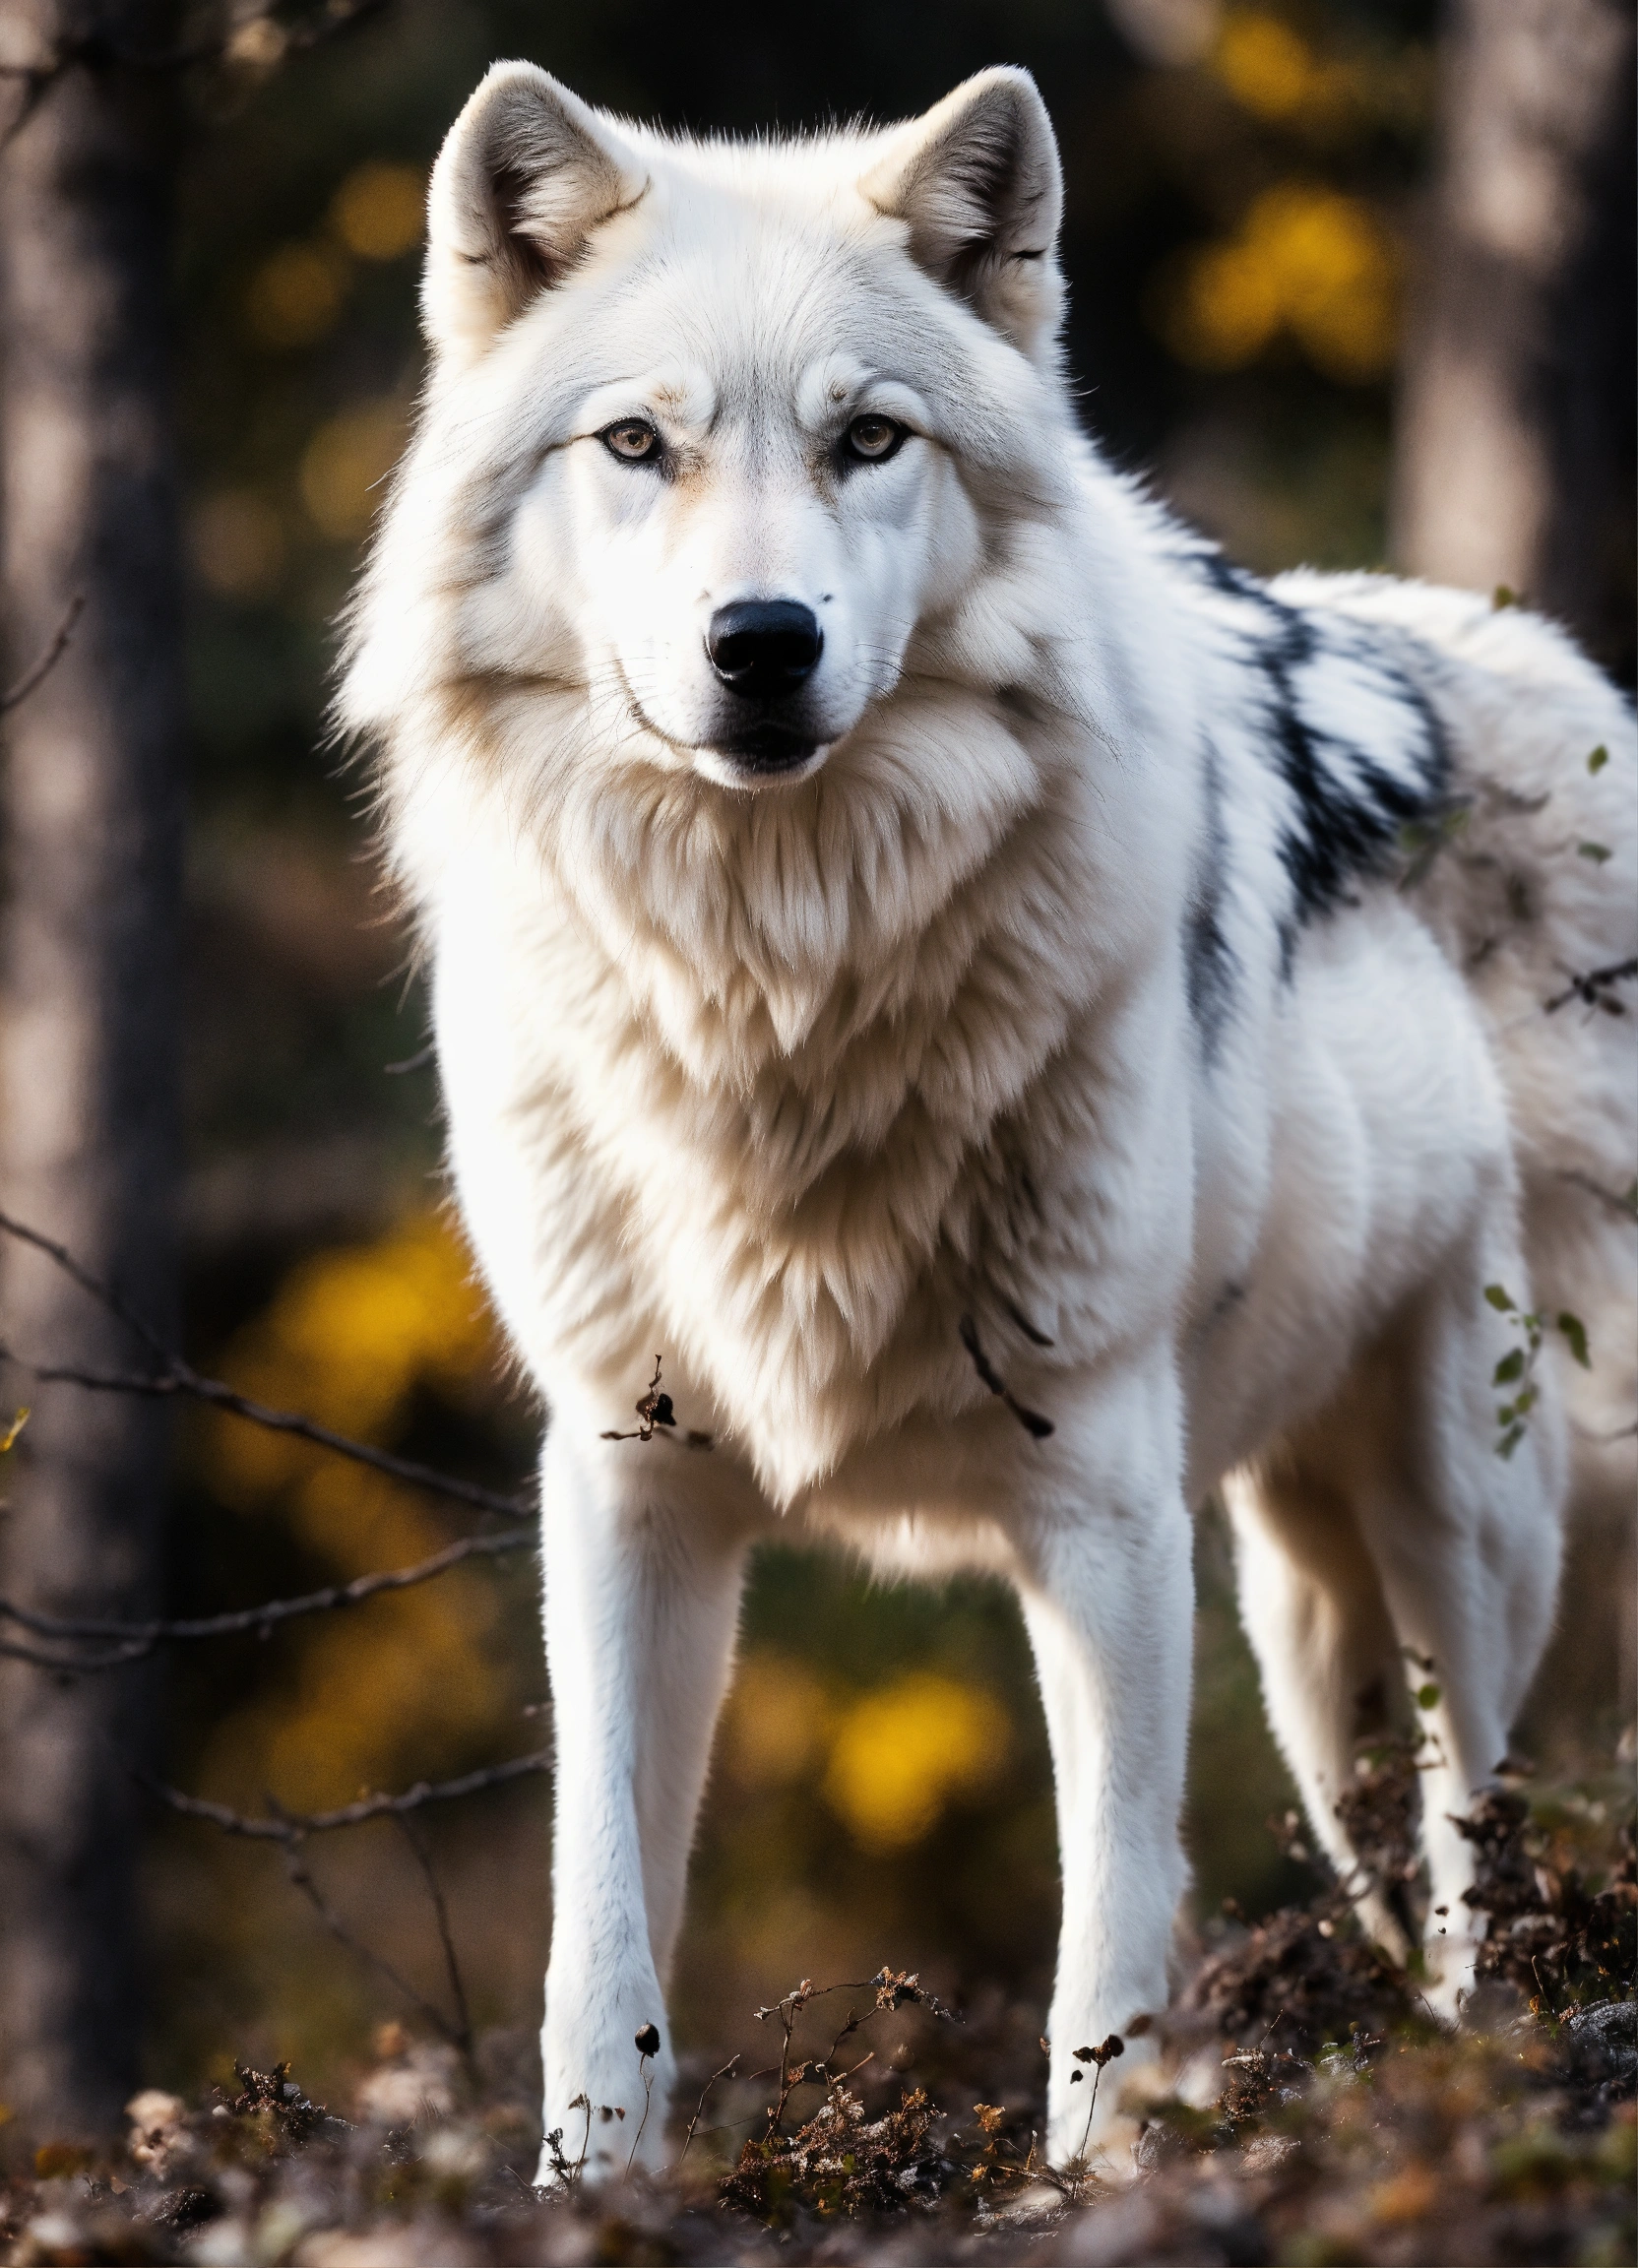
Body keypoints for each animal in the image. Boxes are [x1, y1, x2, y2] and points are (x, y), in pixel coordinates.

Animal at [340, 60, 1637, 2178]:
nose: (761, 641)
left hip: (1459, 1495)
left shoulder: (1099, 1492)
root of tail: (1534, 655)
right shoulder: (622, 1475)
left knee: (1477, 1816)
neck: (773, 990)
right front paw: (587, 2190)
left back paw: (1484, 2058)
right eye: (635, 444)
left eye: (868, 438)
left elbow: (1106, 1921)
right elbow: (596, 1923)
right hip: (1296, 1607)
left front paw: (1101, 2180)